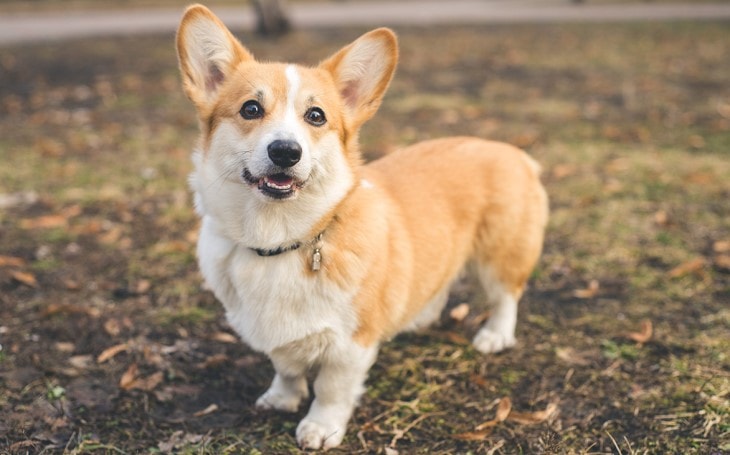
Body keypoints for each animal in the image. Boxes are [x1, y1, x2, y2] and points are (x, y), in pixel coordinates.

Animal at [175, 5, 544, 450]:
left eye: (316, 116)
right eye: (250, 109)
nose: (285, 151)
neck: (280, 239)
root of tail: (513, 151)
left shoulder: (350, 345)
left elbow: (331, 389)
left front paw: (320, 428)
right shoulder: (276, 336)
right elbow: (286, 366)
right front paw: (282, 398)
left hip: (499, 254)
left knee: (506, 295)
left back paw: (495, 336)